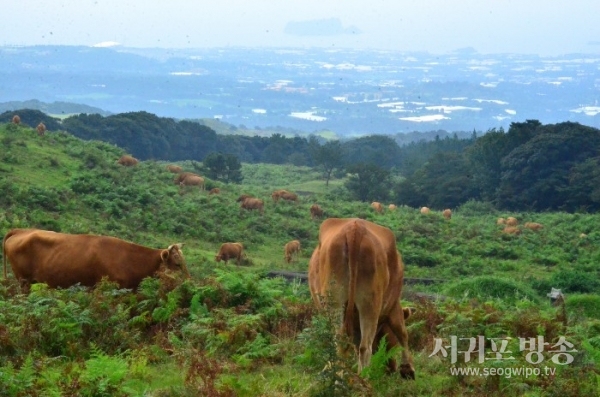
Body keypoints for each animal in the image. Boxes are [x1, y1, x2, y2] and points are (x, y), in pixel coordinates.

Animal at [308, 220, 414, 378]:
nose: (391, 368)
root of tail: (354, 228)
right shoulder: (394, 304)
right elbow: (402, 332)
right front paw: (408, 369)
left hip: (335, 300)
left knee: (340, 341)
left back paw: (339, 375)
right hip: (370, 302)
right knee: (365, 346)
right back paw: (363, 377)